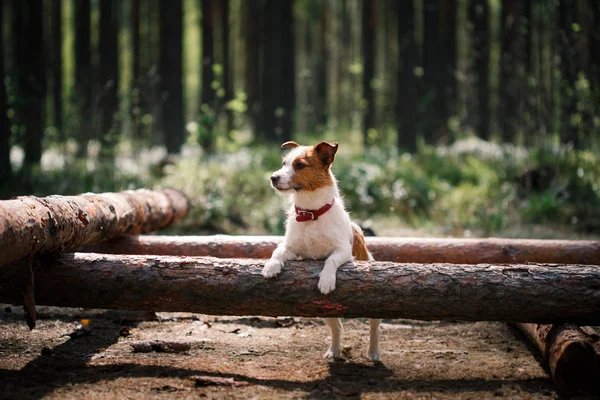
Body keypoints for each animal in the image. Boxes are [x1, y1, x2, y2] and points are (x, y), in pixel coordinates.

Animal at [262, 141, 382, 362]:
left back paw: (373, 352)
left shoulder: (343, 251)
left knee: (374, 327)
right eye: (283, 163)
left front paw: (326, 280)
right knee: (337, 327)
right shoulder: (292, 249)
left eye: (299, 165)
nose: (273, 177)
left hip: (374, 308)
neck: (311, 213)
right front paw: (271, 266)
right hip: (323, 310)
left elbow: (330, 261)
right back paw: (334, 351)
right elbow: (278, 251)